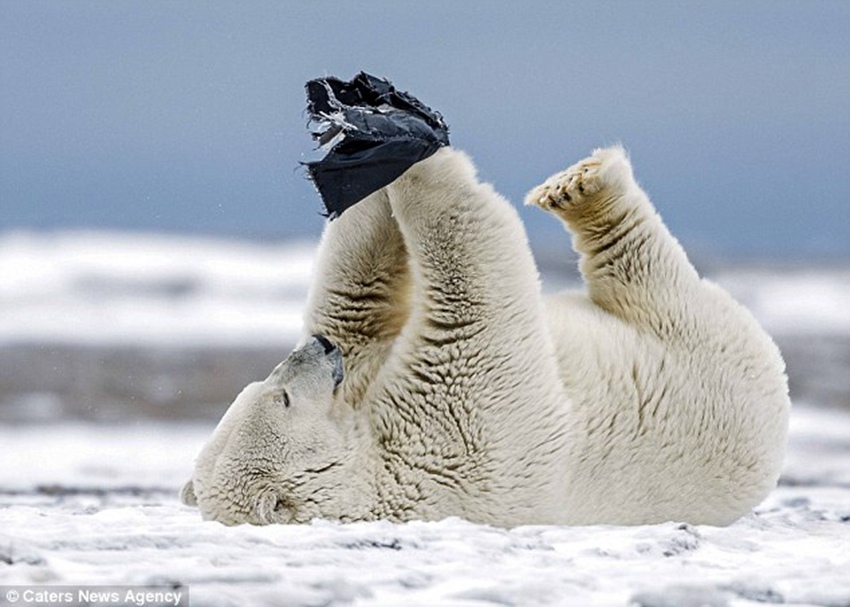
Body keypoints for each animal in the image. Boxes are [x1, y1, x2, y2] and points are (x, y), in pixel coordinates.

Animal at [181, 145, 790, 528]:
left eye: (263, 385)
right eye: (281, 397)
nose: (315, 348)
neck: (373, 464)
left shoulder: (367, 385)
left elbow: (357, 302)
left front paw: (368, 152)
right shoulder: (459, 431)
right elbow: (470, 298)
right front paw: (420, 162)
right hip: (713, 354)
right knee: (646, 274)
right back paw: (586, 188)